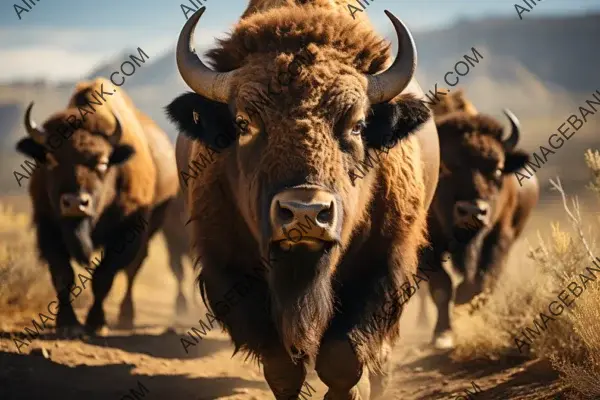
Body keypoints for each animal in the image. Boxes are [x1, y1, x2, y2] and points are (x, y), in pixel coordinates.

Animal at [15, 78, 185, 334]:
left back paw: (126, 317)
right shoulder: (47, 228)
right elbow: (63, 275)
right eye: (51, 159)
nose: (75, 203)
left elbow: (104, 276)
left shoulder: (127, 233)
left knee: (133, 269)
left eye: (103, 163)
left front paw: (96, 322)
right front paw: (68, 323)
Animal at [166, 1, 438, 398]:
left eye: (357, 125)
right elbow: (283, 367)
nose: (305, 212)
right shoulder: (230, 269)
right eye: (244, 123)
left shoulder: (383, 263)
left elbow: (342, 358)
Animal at [426, 108, 540, 346]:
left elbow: (483, 279)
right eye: (444, 167)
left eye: (497, 169)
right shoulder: (428, 245)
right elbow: (441, 286)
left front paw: (464, 301)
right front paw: (442, 335)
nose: (472, 211)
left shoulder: (500, 237)